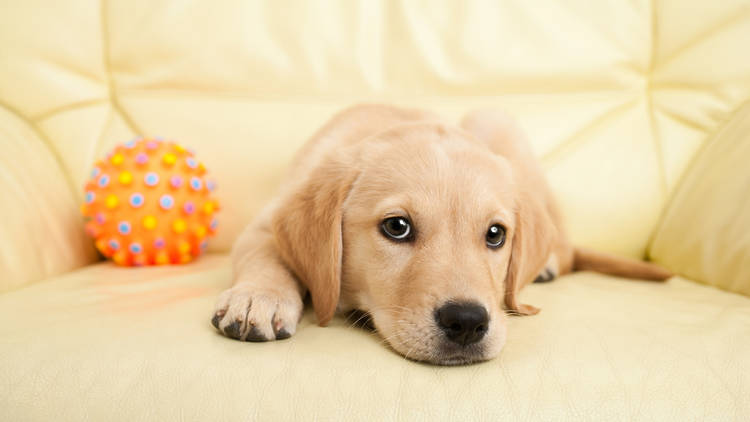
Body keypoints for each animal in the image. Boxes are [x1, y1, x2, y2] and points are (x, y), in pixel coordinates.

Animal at [209, 104, 672, 364]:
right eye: (397, 227)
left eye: (495, 234)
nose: (467, 323)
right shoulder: (265, 222)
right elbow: (266, 253)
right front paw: (259, 297)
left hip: (497, 122)